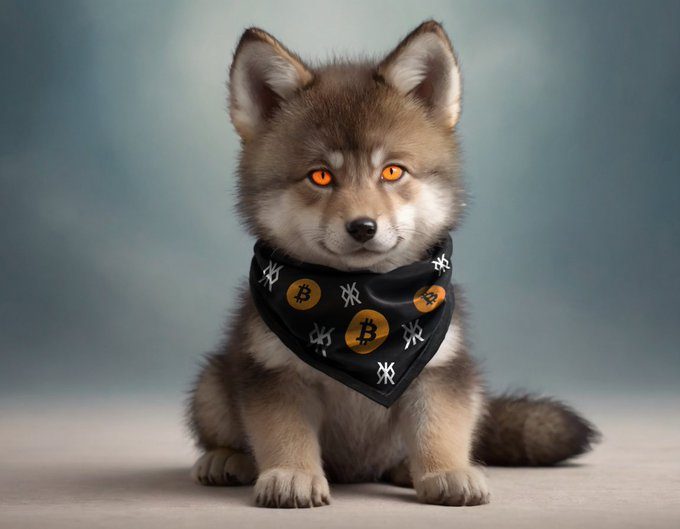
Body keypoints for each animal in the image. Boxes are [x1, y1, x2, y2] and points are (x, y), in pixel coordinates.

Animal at [186, 20, 598, 508]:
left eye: (392, 172)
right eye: (321, 176)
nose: (363, 227)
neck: (358, 300)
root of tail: (356, 471)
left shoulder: (441, 370)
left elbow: (439, 428)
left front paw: (445, 471)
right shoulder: (273, 374)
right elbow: (285, 434)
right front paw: (291, 473)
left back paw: (406, 468)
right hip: (211, 383)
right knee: (225, 430)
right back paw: (229, 458)